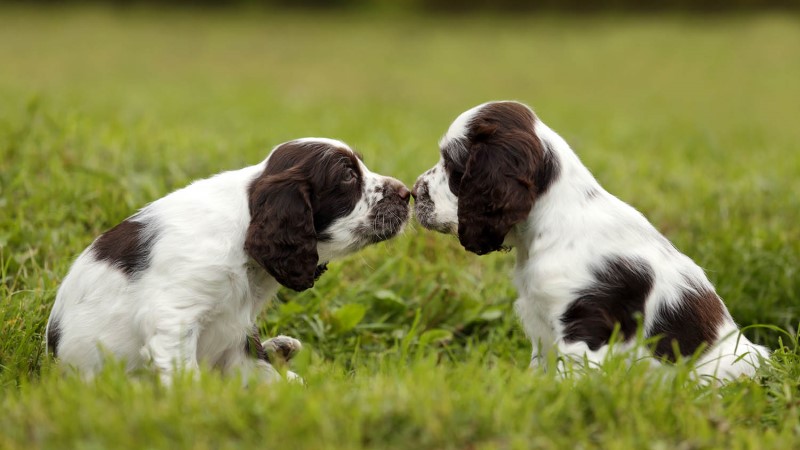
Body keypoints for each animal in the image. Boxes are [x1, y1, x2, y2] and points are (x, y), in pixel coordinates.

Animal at [46, 138, 412, 384]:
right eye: (348, 176)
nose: (407, 193)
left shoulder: (239, 329)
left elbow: (261, 370)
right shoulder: (173, 316)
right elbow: (187, 376)